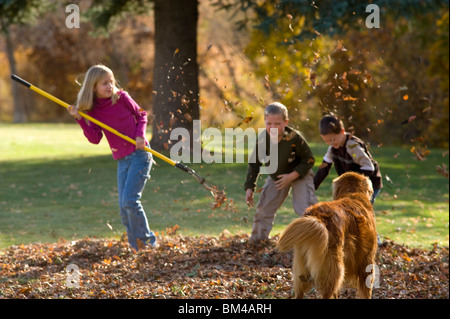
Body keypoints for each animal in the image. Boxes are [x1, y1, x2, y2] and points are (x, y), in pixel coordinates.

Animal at [278, 172, 376, 300]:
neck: (352, 195)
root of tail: (317, 217)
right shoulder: (367, 261)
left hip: (301, 268)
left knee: (300, 293)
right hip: (335, 269)